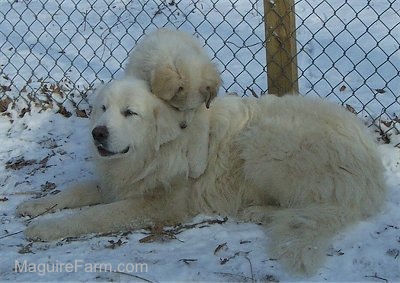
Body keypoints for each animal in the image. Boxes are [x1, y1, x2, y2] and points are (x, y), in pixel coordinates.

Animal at [17, 77, 386, 276]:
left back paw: (257, 211)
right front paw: (34, 206)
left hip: (262, 144)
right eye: (103, 109)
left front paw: (46, 229)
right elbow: (76, 191)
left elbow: (94, 215)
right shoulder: (119, 182)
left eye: (129, 113)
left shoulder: (157, 204)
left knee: (304, 207)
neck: (159, 146)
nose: (98, 133)